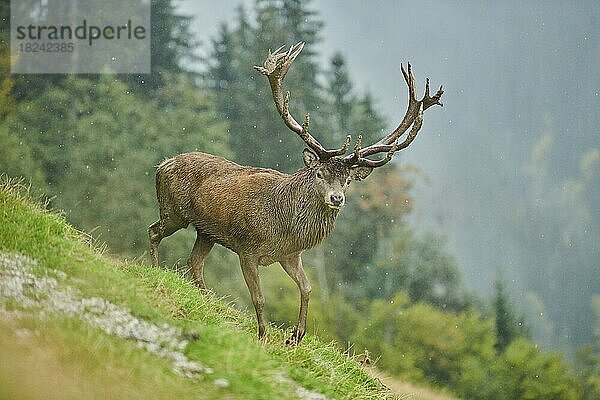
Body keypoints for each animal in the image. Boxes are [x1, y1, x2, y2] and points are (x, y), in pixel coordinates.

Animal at [148, 42, 442, 346]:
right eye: (319, 174)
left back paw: (206, 299)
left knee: (194, 261)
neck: (284, 227)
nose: (336, 198)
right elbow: (260, 297)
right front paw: (263, 335)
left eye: (348, 180)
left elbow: (308, 287)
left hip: (206, 231)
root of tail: (162, 164)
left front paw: (296, 335)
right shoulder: (247, 249)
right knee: (154, 231)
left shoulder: (289, 254)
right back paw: (155, 270)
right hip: (174, 211)